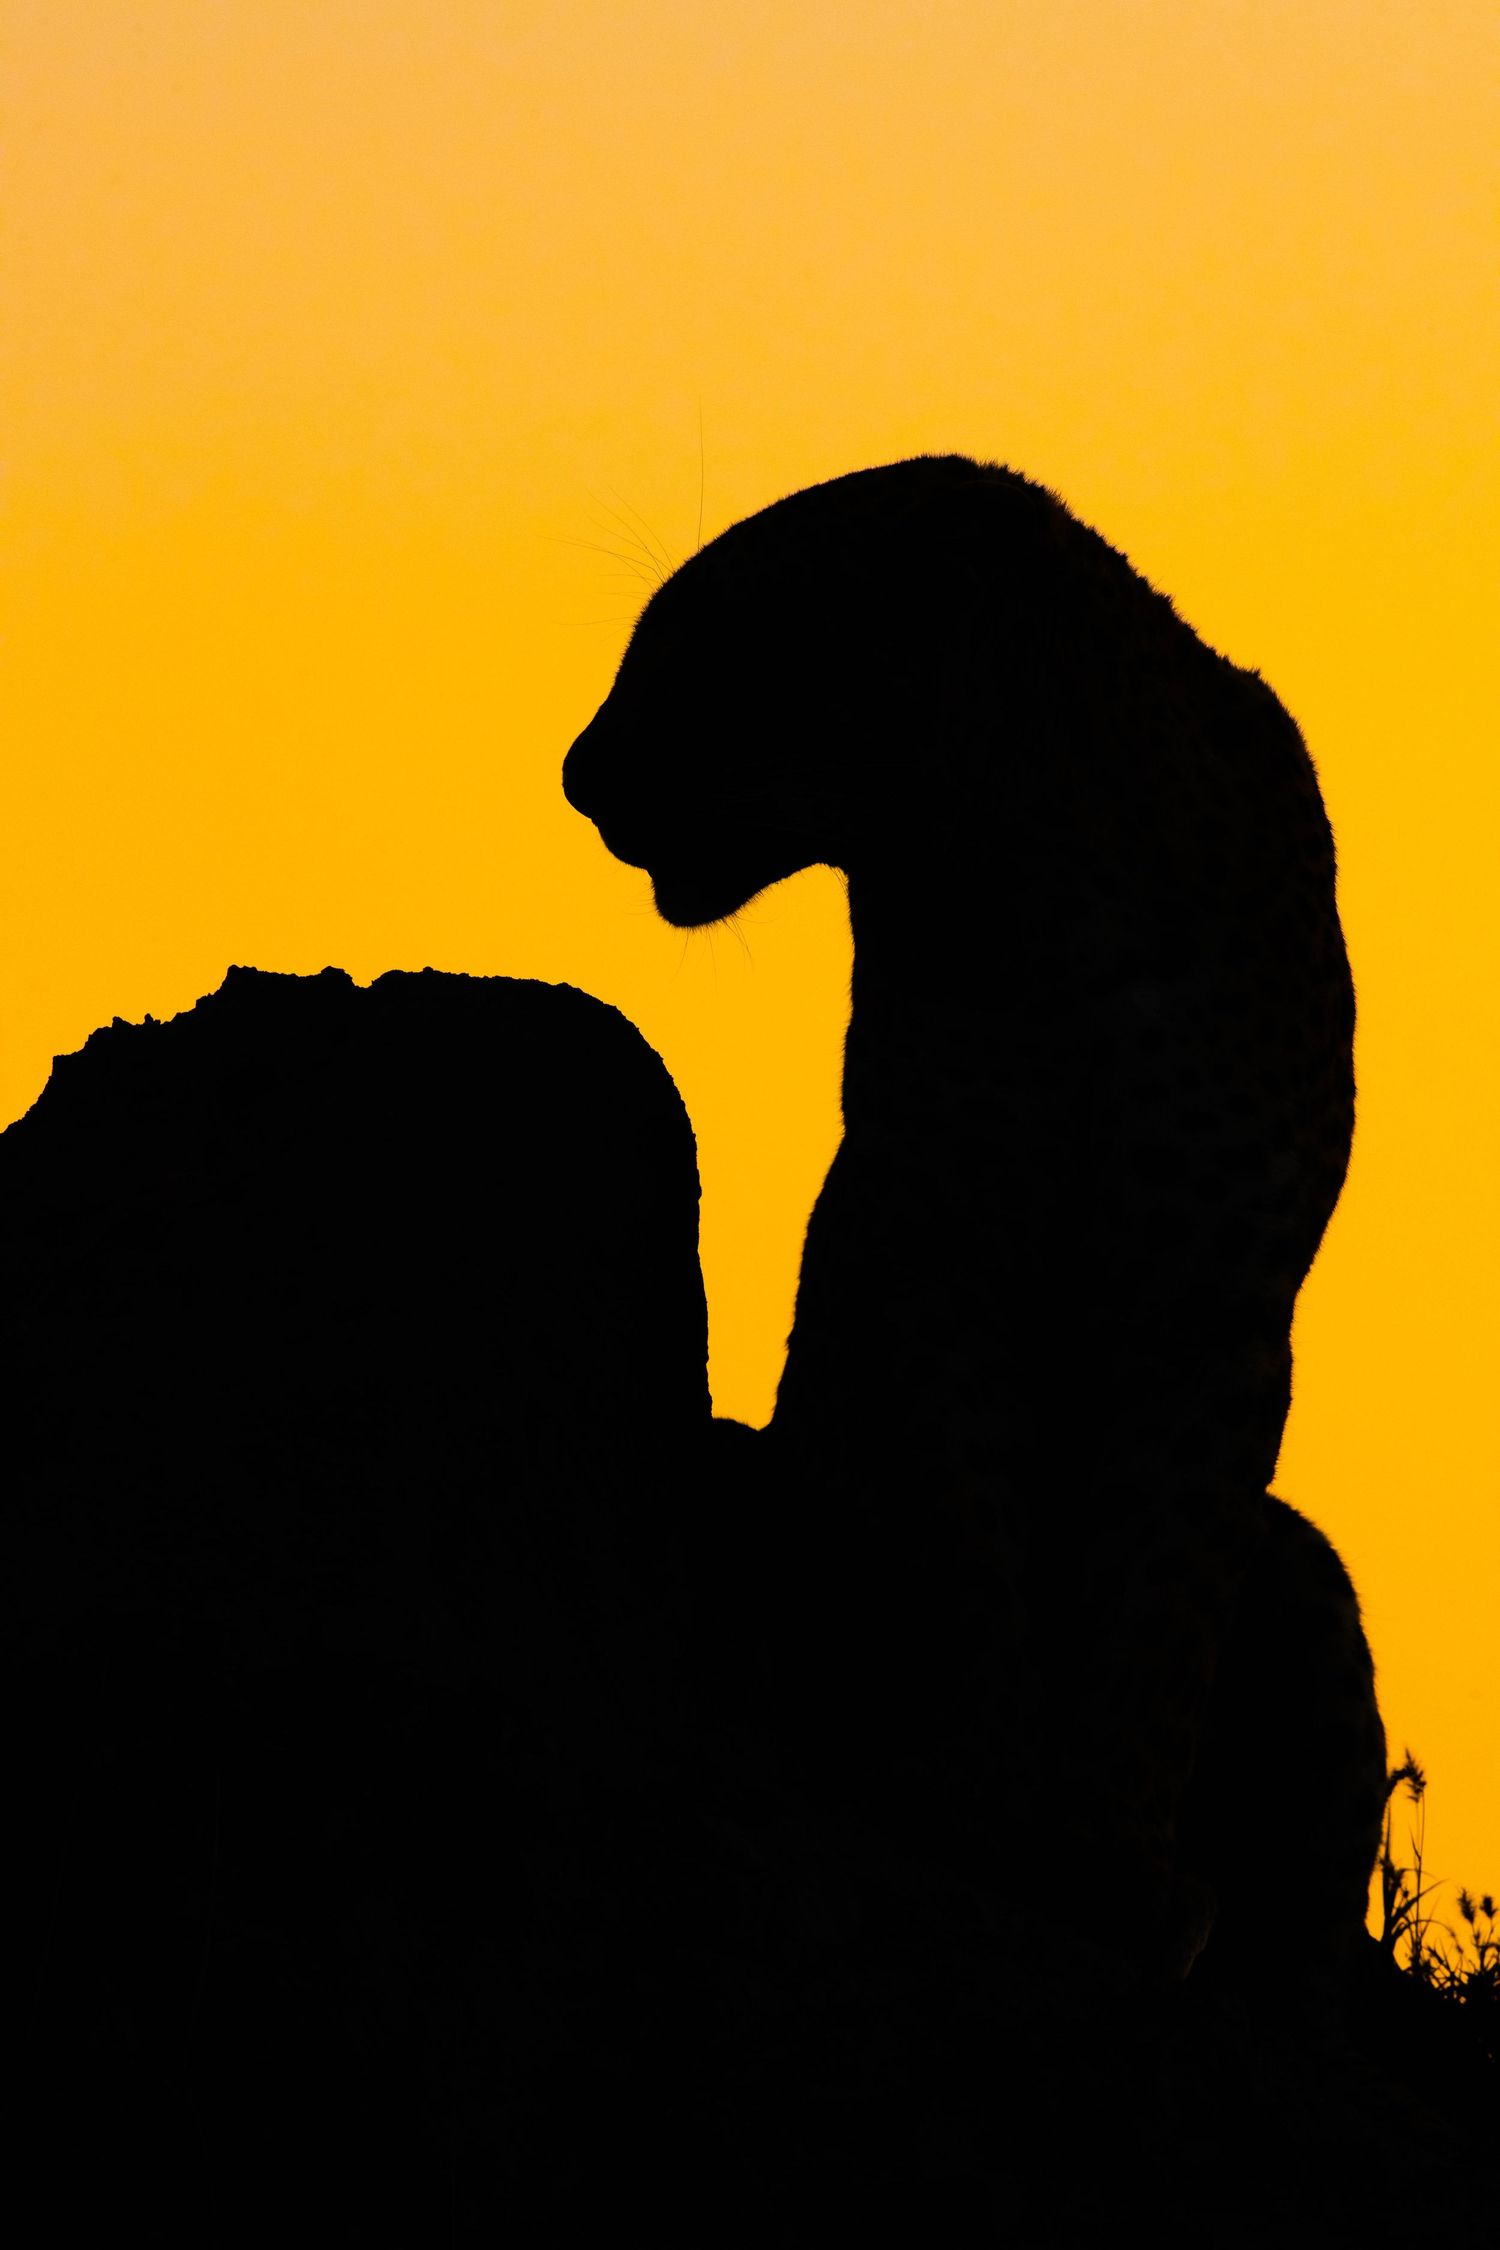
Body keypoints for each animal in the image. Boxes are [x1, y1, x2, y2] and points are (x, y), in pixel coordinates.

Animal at [563, 453, 1380, 1996]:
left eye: (698, 642)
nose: (575, 776)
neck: (1036, 890)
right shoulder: (935, 1246)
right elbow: (962, 1547)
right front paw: (982, 1810)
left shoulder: (1214, 1311)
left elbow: (1159, 1597)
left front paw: (1109, 1861)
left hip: (1309, 1580)